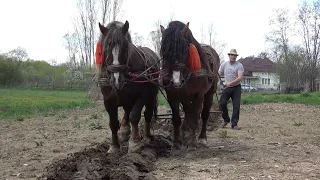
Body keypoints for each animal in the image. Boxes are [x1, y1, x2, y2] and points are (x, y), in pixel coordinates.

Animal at [97, 21, 160, 153]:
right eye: (106, 48)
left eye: (125, 48)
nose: (116, 79)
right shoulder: (108, 99)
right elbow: (113, 122)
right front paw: (114, 146)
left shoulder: (143, 94)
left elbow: (134, 116)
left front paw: (135, 143)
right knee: (127, 111)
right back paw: (125, 132)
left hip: (151, 95)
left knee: (147, 114)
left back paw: (147, 136)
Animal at [159, 20, 220, 153]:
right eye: (164, 52)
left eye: (185, 51)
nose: (175, 81)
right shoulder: (172, 96)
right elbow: (176, 119)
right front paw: (176, 144)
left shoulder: (199, 95)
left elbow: (195, 118)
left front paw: (192, 143)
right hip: (185, 97)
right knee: (188, 112)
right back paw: (185, 134)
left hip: (209, 93)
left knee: (204, 114)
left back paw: (201, 138)